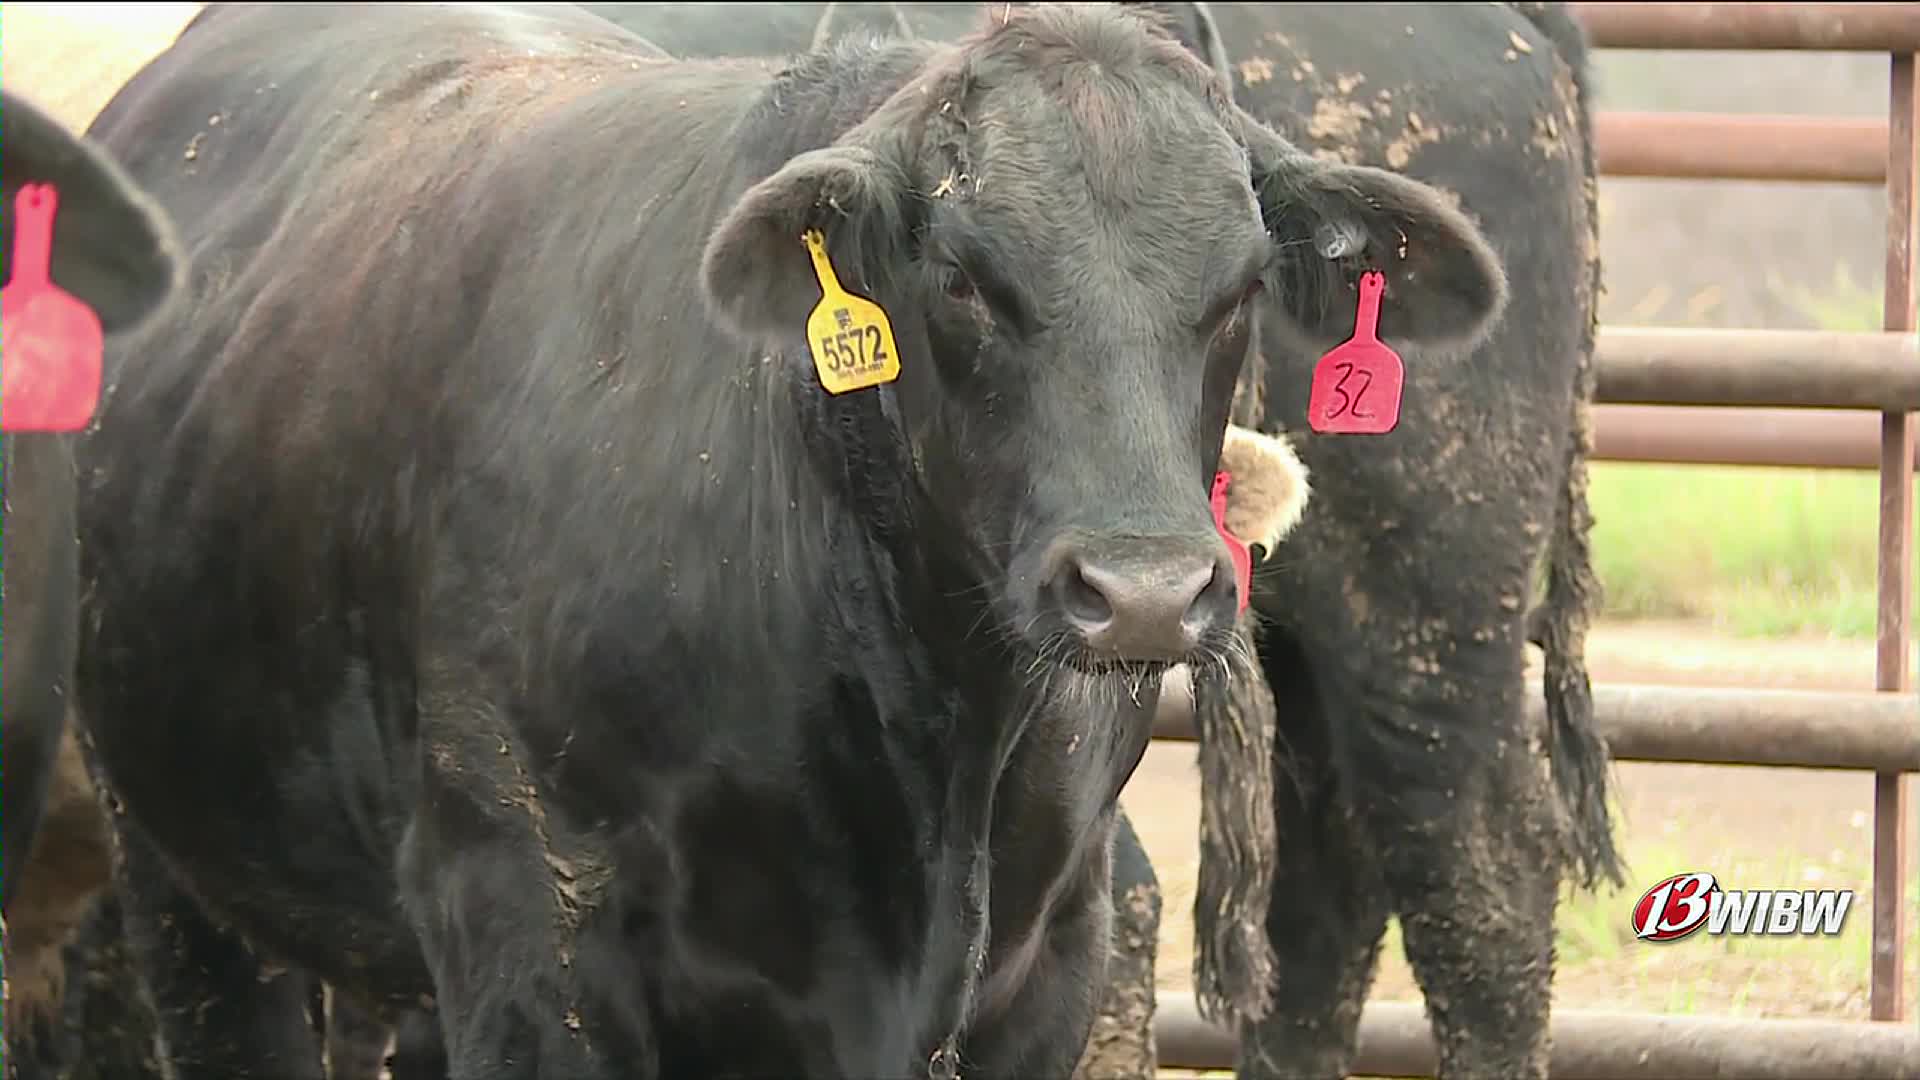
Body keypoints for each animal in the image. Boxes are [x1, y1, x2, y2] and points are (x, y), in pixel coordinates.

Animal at [68, 5, 1500, 1080]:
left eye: (1246, 285)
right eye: (962, 278)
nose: (1143, 590)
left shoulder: (1055, 953)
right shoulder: (526, 928)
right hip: (184, 876)